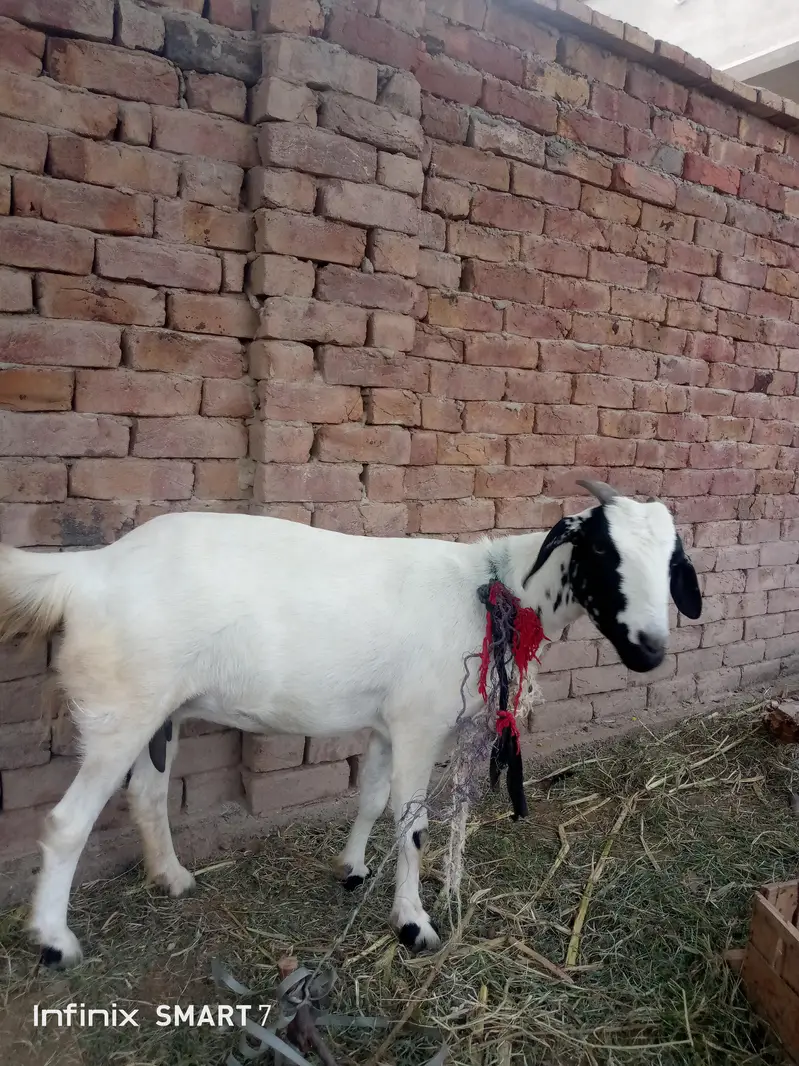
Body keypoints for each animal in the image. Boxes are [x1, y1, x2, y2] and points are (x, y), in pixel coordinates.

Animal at [0, 479, 701, 967]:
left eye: (672, 562)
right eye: (601, 548)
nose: (649, 650)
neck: (491, 590)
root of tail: (88, 571)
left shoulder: (388, 722)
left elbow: (368, 798)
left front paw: (353, 868)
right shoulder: (419, 723)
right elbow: (412, 825)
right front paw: (414, 924)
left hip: (158, 710)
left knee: (146, 794)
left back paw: (171, 878)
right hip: (121, 708)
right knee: (66, 823)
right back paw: (56, 943)